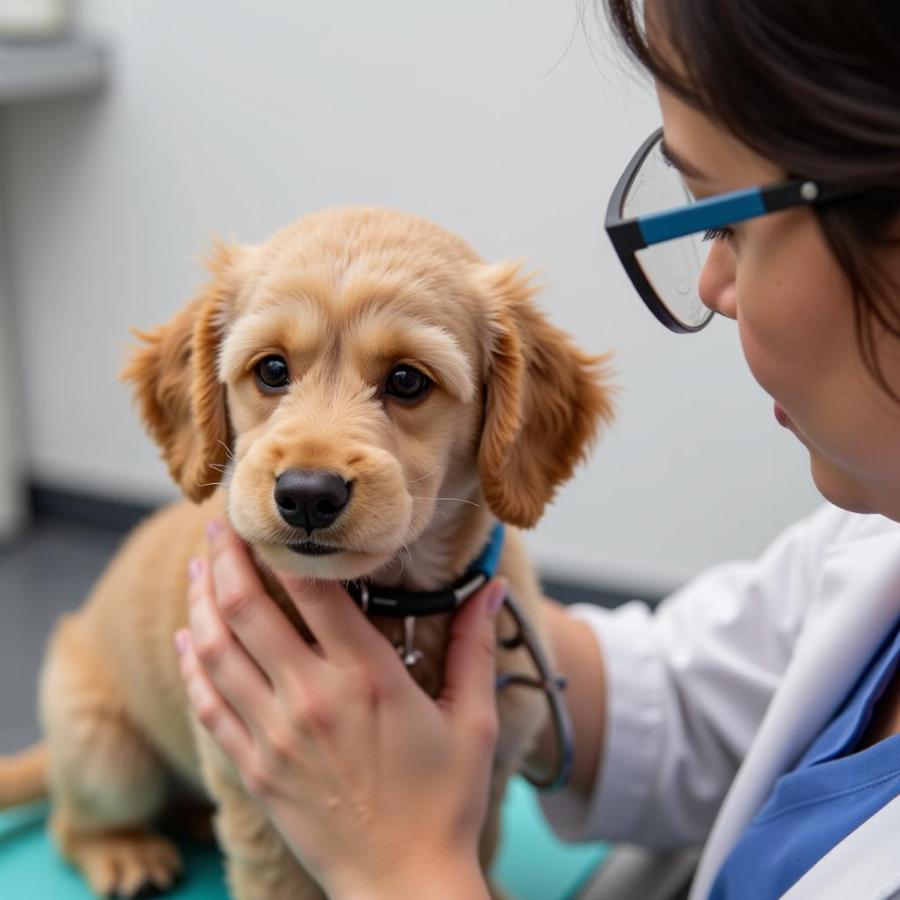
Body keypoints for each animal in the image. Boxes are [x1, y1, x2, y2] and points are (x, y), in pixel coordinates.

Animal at [0, 207, 612, 896]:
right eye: (271, 370)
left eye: (407, 380)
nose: (308, 495)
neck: (395, 607)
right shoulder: (253, 792)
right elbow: (280, 881)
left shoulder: (497, 761)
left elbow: (480, 846)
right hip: (104, 752)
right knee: (69, 822)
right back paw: (124, 851)